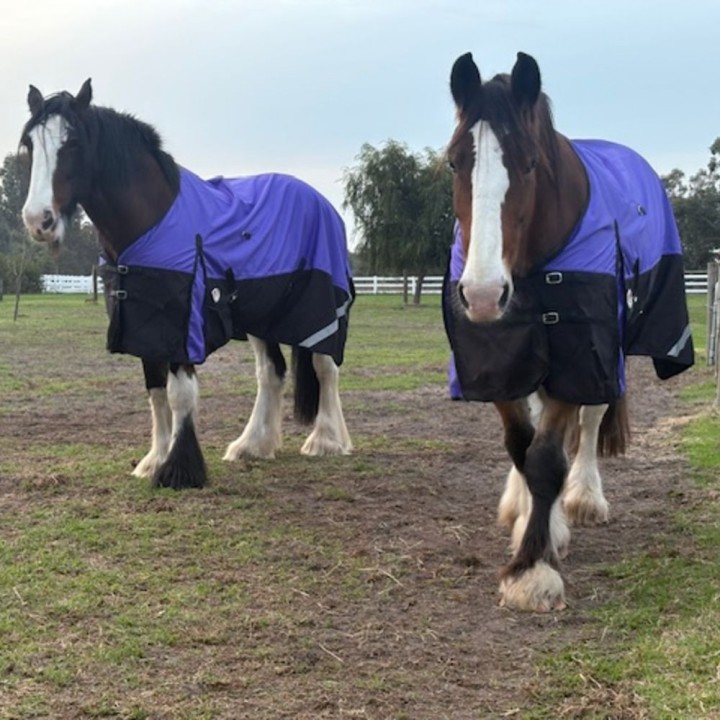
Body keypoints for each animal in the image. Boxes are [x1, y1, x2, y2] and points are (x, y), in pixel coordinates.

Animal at [20, 80, 354, 490]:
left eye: (73, 143)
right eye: (30, 144)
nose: (38, 220)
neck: (151, 221)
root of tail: (322, 203)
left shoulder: (181, 324)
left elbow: (180, 394)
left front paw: (179, 469)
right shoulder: (144, 325)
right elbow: (156, 394)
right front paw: (155, 460)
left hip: (319, 308)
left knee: (325, 365)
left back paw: (326, 440)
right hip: (260, 314)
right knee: (271, 372)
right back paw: (252, 445)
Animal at [444, 52, 694, 611]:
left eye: (530, 162)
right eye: (453, 161)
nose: (484, 294)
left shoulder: (578, 352)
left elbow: (547, 457)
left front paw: (531, 568)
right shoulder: (499, 354)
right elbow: (522, 445)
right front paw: (534, 529)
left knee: (591, 421)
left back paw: (582, 498)